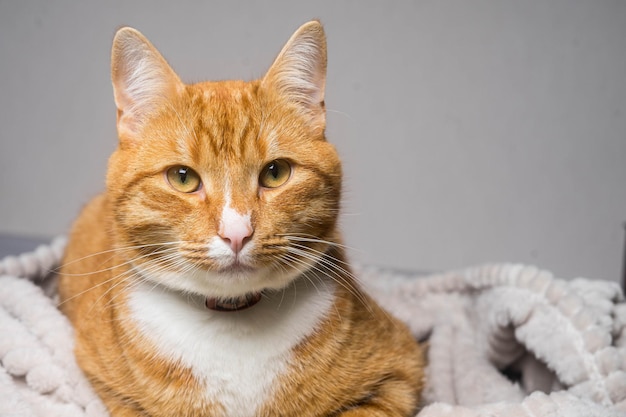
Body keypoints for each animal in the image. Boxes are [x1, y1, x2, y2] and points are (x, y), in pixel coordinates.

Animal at [58, 20, 422, 416]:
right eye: (182, 178)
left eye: (276, 173)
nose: (237, 234)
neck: (233, 323)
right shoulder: (109, 389)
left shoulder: (399, 372)